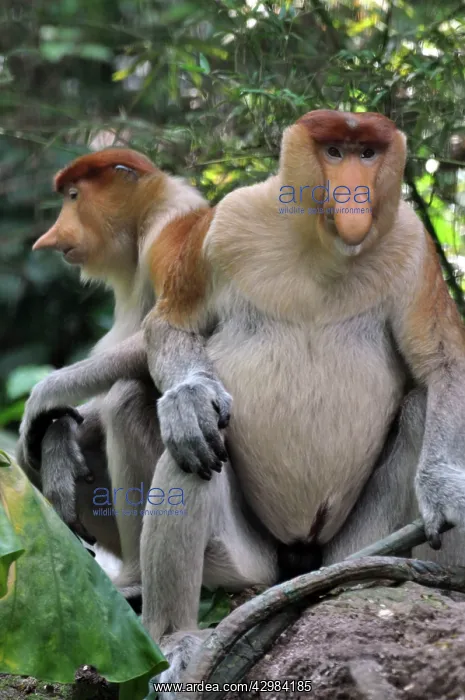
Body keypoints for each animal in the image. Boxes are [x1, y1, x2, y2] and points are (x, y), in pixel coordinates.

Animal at [17, 147, 219, 596]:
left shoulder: (173, 232)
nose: (48, 238)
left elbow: (167, 328)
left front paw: (45, 393)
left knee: (126, 398)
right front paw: (58, 436)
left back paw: (136, 580)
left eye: (74, 196)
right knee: (25, 455)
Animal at [138, 109, 465, 688]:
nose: (355, 195)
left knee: (422, 407)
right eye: (334, 152)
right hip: (246, 562)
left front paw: (444, 491)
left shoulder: (413, 245)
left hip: (355, 546)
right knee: (189, 454)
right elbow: (171, 323)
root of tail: (299, 559)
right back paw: (175, 639)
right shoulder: (226, 224)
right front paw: (187, 399)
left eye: (367, 154)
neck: (322, 249)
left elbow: (443, 364)